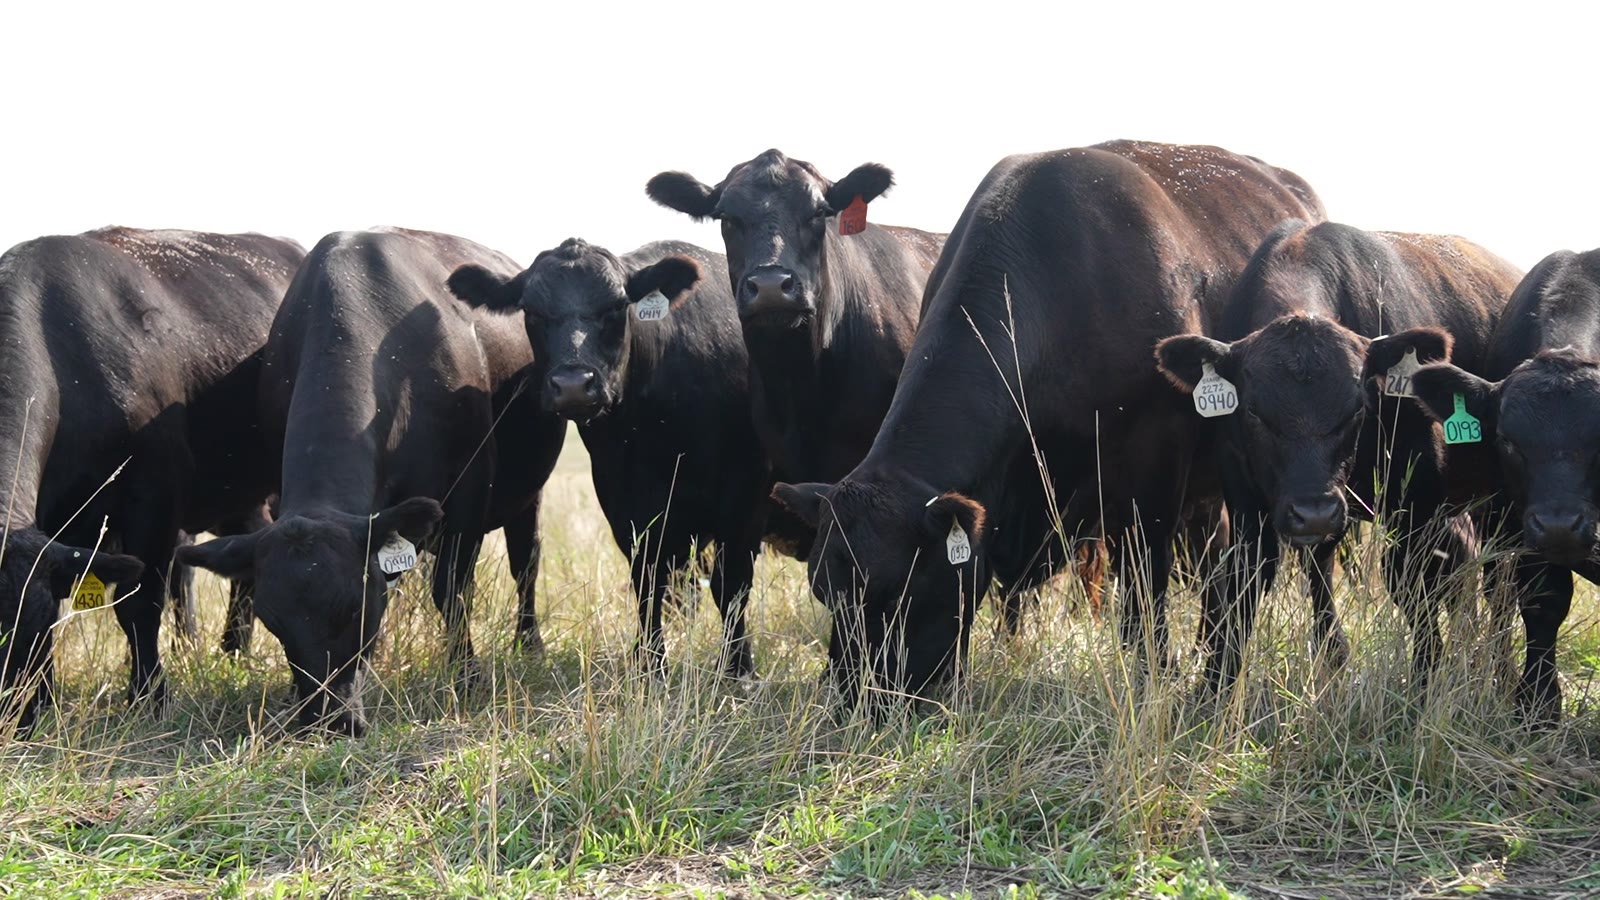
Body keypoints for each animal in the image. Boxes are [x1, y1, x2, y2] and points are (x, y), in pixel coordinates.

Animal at [0, 227, 304, 735]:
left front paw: (150, 696)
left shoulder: (153, 495)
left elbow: (138, 605)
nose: (13, 715)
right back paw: (229, 652)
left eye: (31, 624)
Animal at [177, 228, 566, 735]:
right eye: (274, 623)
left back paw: (530, 643)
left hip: (526, 496)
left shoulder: (469, 495)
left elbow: (452, 592)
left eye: (356, 608)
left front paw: (467, 675)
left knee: (527, 564)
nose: (327, 721)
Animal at [447, 238, 768, 676]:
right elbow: (647, 579)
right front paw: (650, 661)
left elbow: (732, 583)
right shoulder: (624, 499)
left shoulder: (743, 497)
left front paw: (738, 666)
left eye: (616, 307)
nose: (573, 384)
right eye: (531, 311)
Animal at [769, 141, 1325, 709]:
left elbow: (1143, 586)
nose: (852, 703)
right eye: (823, 591)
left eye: (898, 590)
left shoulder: (1154, 464)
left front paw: (1156, 674)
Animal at [1154, 221, 1522, 694]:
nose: (1314, 512)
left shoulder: (1417, 499)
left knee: (1491, 578)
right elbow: (1245, 585)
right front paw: (1213, 689)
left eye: (1358, 408)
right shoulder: (1248, 499)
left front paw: (1424, 681)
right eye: (1253, 411)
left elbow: (1412, 583)